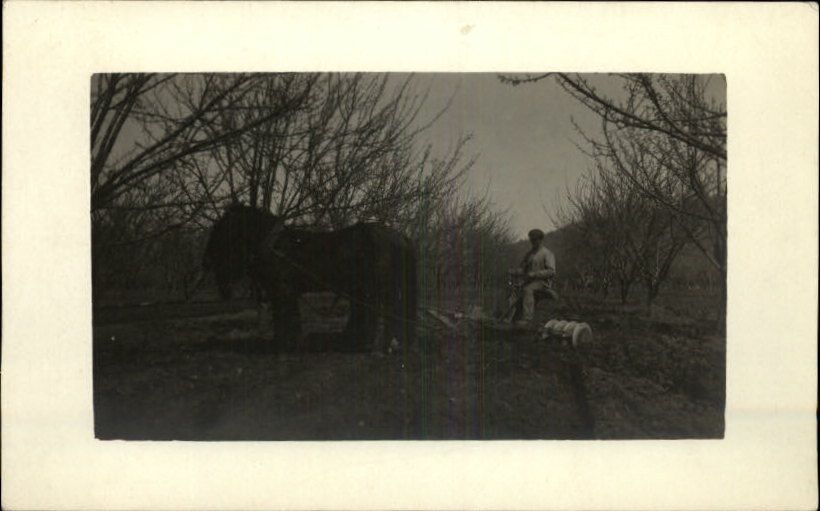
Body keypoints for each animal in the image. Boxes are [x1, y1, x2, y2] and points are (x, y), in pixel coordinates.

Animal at [199, 204, 416, 352]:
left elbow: (285, 316)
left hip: (378, 287)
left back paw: (377, 346)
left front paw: (284, 345)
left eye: (223, 228)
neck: (275, 247)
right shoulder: (285, 292)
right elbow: (289, 316)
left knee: (384, 311)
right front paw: (288, 342)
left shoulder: (282, 290)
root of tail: (399, 236)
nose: (206, 259)